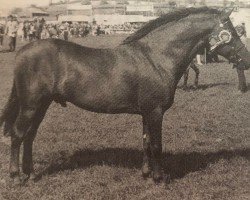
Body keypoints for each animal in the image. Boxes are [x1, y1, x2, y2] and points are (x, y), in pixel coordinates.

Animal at [1, 6, 250, 184]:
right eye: (231, 30)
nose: (246, 60)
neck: (156, 57)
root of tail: (23, 51)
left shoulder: (146, 113)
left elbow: (146, 142)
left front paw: (146, 173)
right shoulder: (155, 111)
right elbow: (157, 144)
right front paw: (160, 178)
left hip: (41, 105)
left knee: (30, 136)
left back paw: (31, 174)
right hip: (31, 105)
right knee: (18, 135)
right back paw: (16, 176)